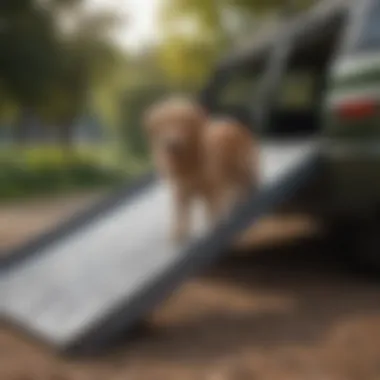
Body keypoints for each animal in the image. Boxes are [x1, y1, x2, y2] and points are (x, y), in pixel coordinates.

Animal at [143, 95, 258, 243]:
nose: (172, 144)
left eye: (182, 121)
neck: (186, 164)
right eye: (163, 124)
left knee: (247, 184)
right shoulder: (181, 191)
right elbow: (180, 215)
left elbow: (214, 214)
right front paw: (179, 235)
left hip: (243, 168)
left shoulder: (211, 190)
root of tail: (231, 122)